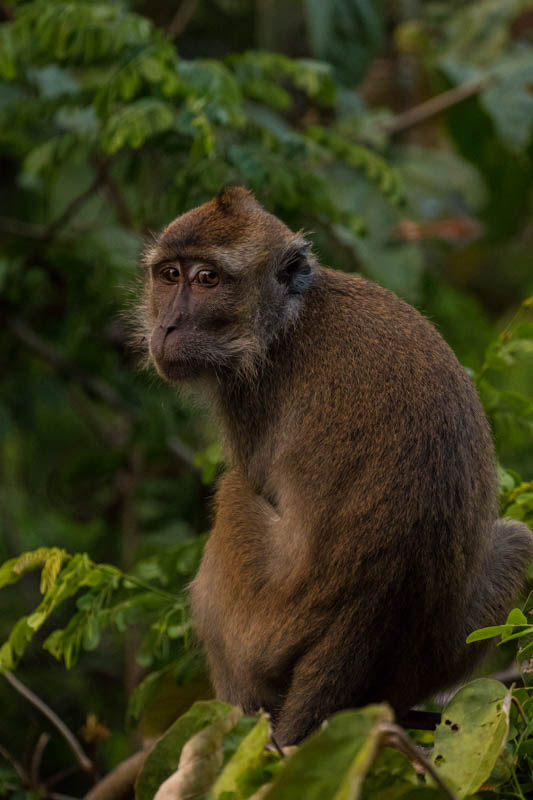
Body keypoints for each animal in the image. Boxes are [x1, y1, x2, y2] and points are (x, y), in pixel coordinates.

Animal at [141, 186, 532, 744]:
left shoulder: (249, 395)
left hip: (258, 628)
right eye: (170, 275)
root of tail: (365, 615)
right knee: (518, 538)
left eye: (208, 278)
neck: (290, 317)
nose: (167, 326)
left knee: (235, 492)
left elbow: (252, 477)